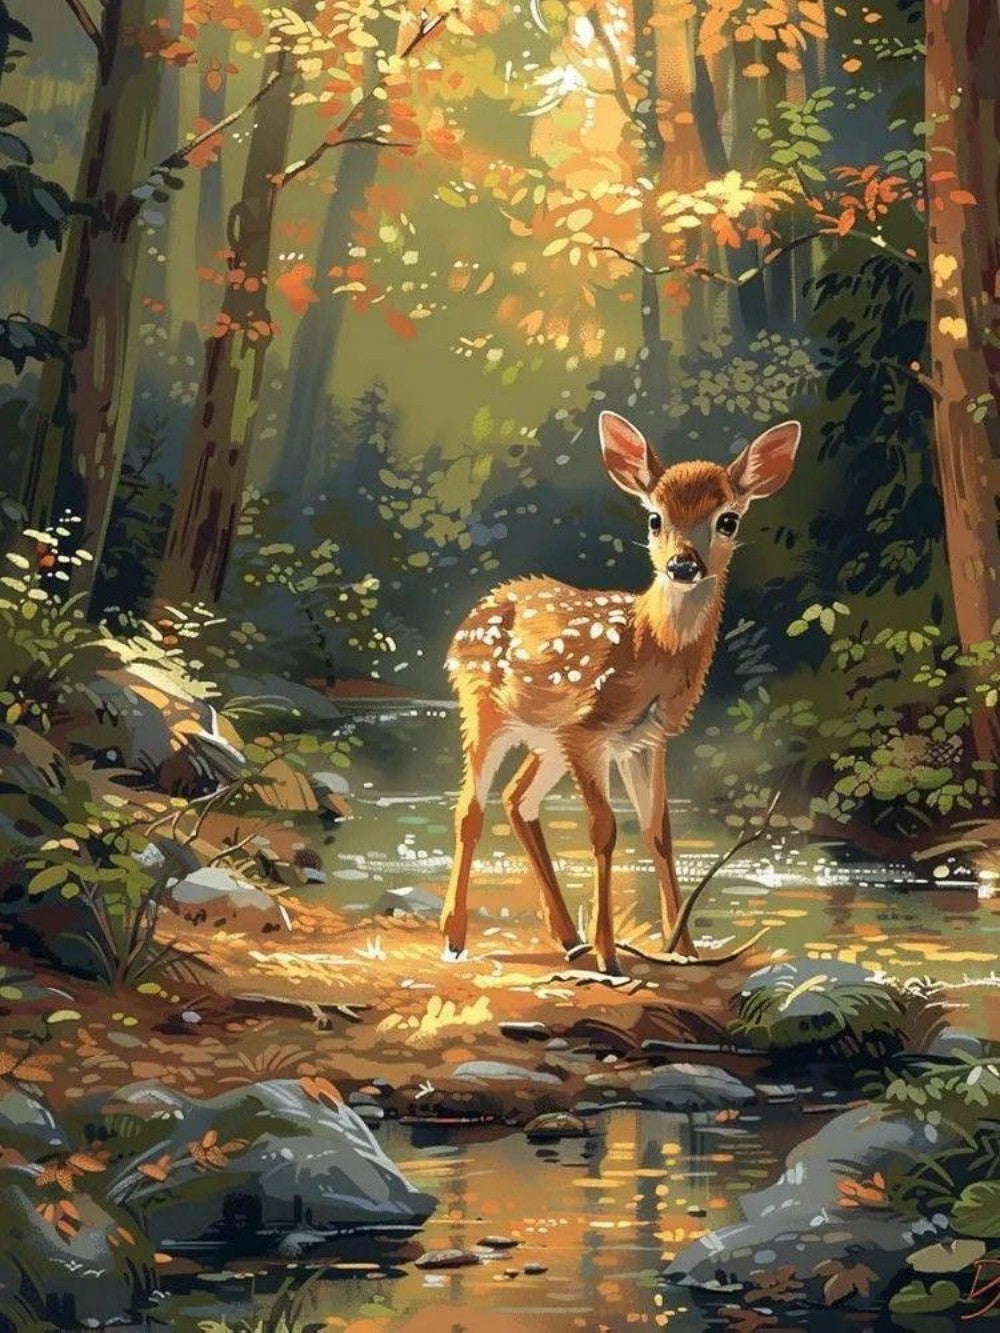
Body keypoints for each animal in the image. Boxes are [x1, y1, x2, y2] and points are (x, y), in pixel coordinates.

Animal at [440, 411, 800, 975]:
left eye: (728, 520)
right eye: (654, 518)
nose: (682, 565)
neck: (649, 649)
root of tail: (473, 615)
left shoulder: (647, 738)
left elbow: (658, 832)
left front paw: (683, 950)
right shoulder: (589, 732)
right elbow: (604, 830)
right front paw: (611, 957)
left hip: (546, 740)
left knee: (517, 800)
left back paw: (568, 938)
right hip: (483, 708)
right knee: (469, 808)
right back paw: (456, 938)